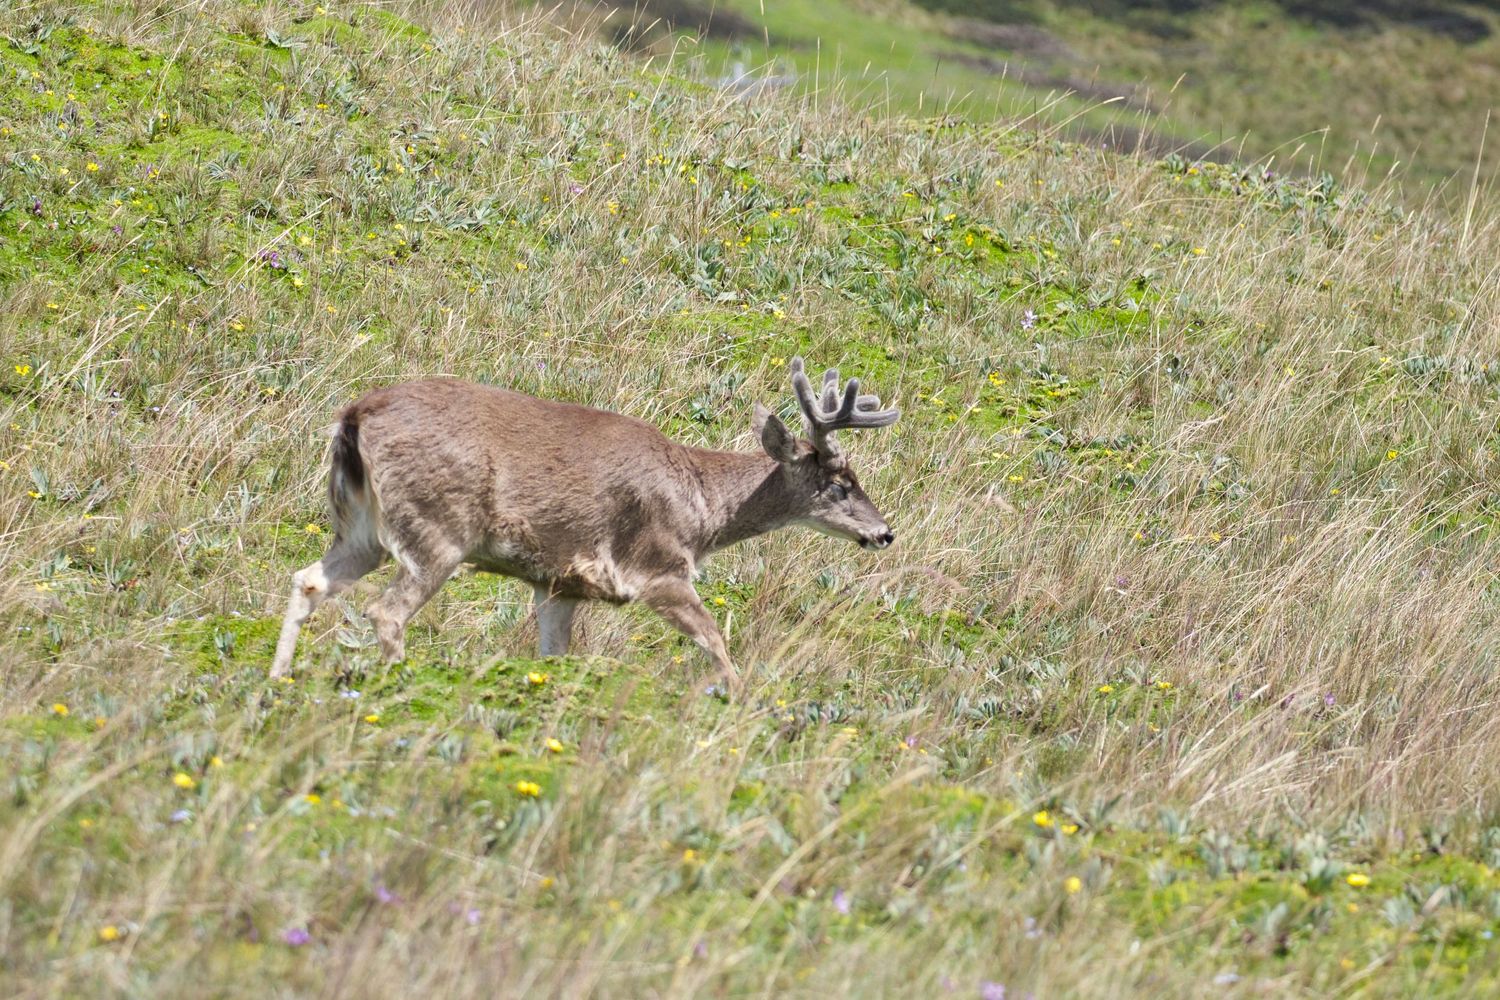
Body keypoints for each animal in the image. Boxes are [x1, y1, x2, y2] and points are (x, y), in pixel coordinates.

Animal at [269, 358, 900, 686]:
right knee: (385, 611)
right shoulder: (658, 567)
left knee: (307, 580)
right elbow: (715, 639)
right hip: (437, 530)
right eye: (840, 484)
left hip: (360, 529)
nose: (884, 532)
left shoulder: (558, 584)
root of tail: (353, 415)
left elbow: (553, 654)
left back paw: (276, 680)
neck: (700, 509)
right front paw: (739, 701)